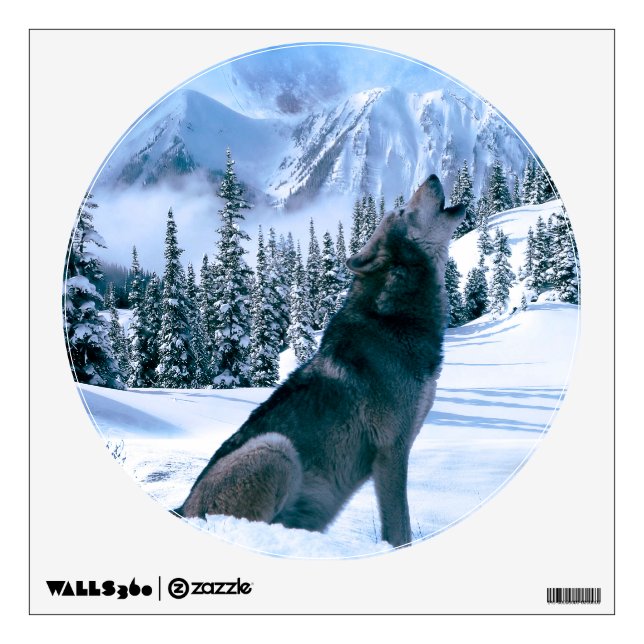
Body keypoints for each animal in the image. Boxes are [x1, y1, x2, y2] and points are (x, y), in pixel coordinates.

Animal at [174, 175, 465, 548]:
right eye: (402, 210)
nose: (431, 176)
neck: (394, 319)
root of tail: (182, 508)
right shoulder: (391, 451)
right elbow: (400, 530)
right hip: (276, 449)